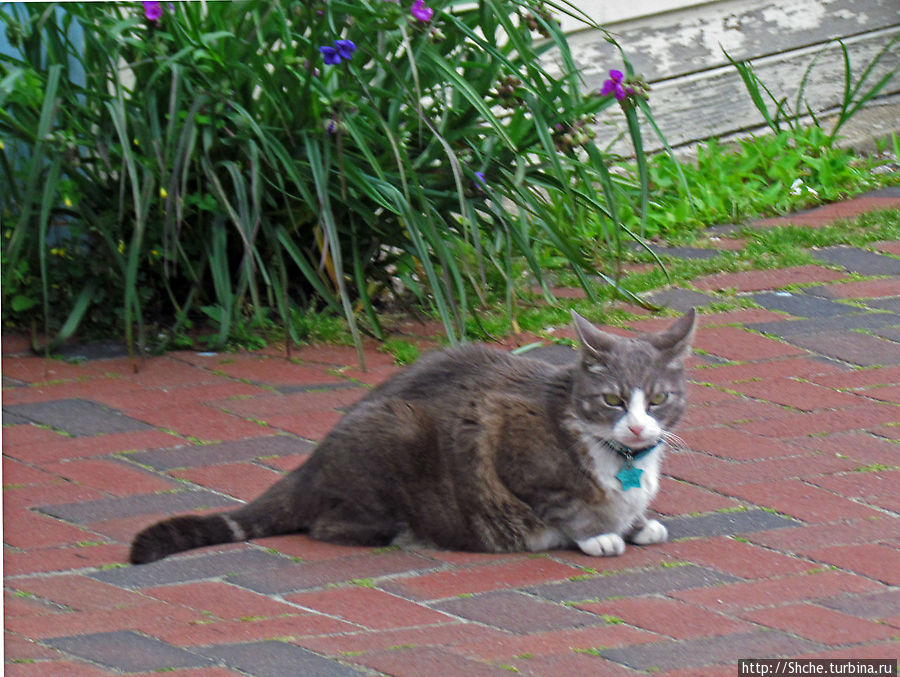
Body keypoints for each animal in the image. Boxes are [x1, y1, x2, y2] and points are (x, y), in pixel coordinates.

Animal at [130, 308, 696, 564]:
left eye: (657, 399)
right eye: (614, 400)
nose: (638, 424)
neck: (623, 460)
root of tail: (309, 465)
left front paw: (637, 523)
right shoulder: (508, 441)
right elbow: (564, 504)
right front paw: (601, 533)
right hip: (397, 428)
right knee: (328, 526)